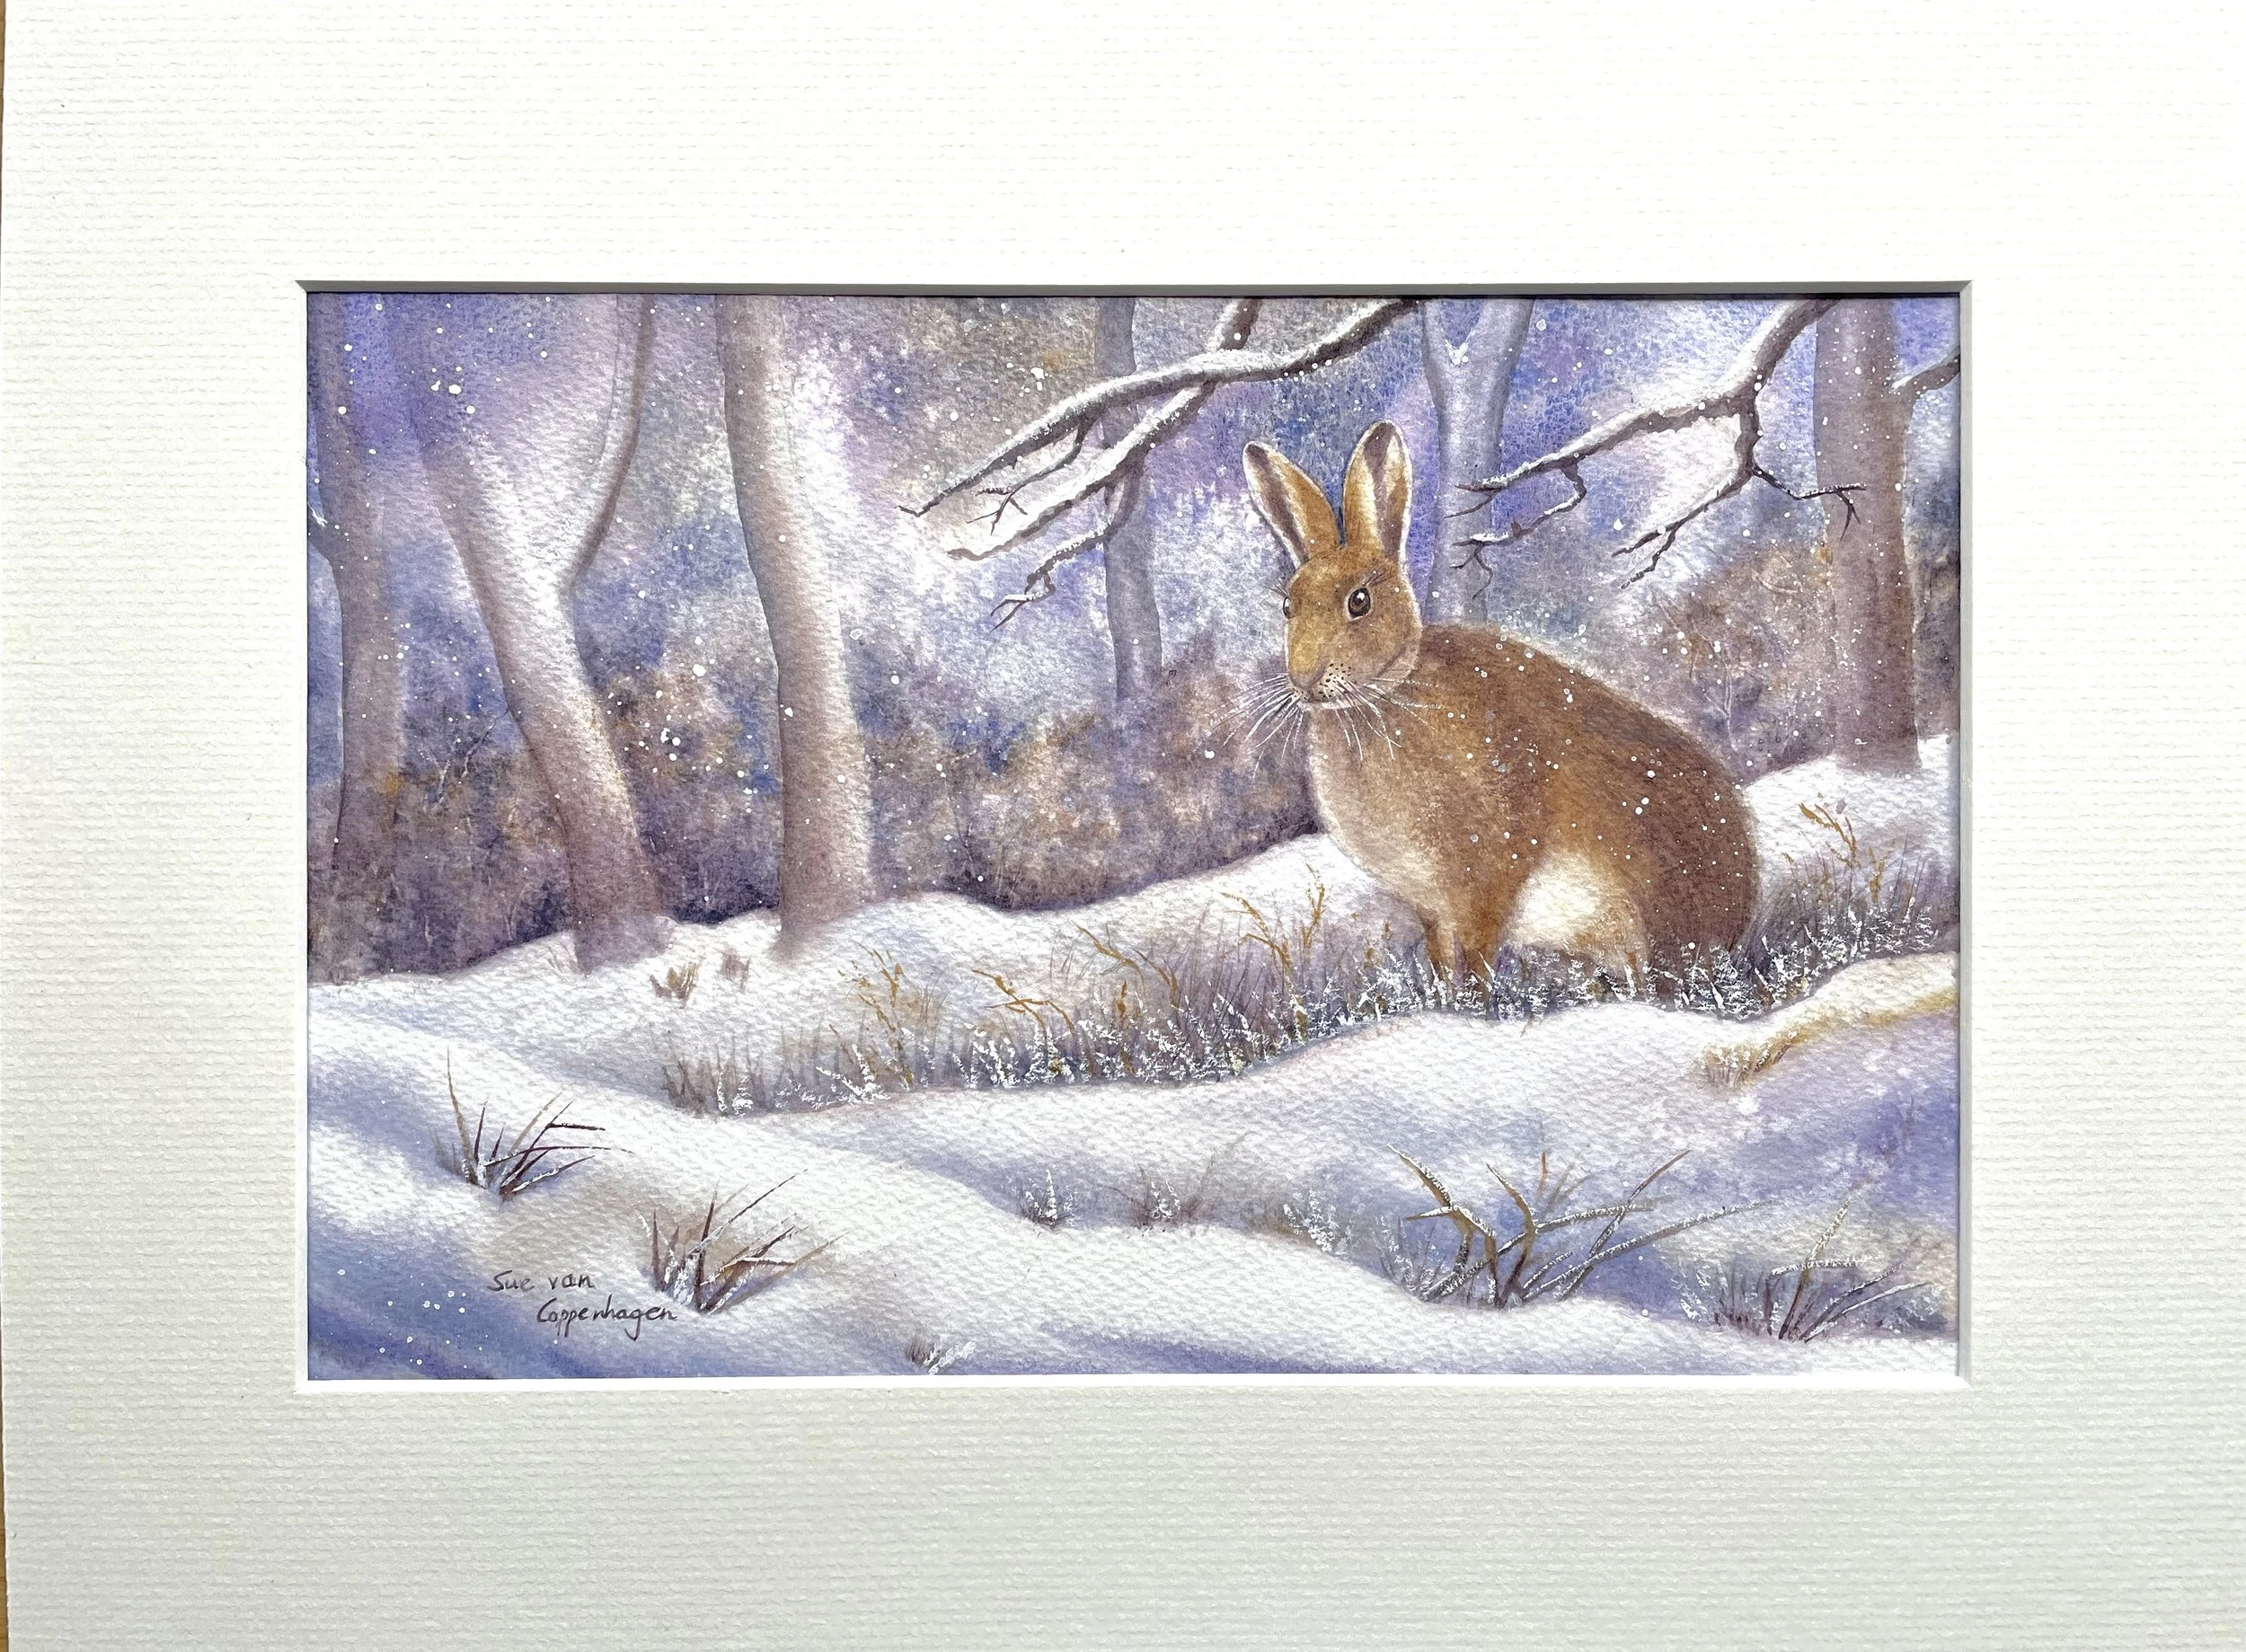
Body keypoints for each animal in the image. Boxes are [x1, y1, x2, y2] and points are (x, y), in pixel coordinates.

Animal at [1240, 420, 1758, 980]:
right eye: (1288, 606)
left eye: (1359, 601)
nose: (1304, 679)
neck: (1383, 698)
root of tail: (1742, 900)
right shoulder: (1431, 907)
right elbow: (1441, 961)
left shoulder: (1486, 877)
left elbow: (1477, 963)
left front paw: (1471, 1001)